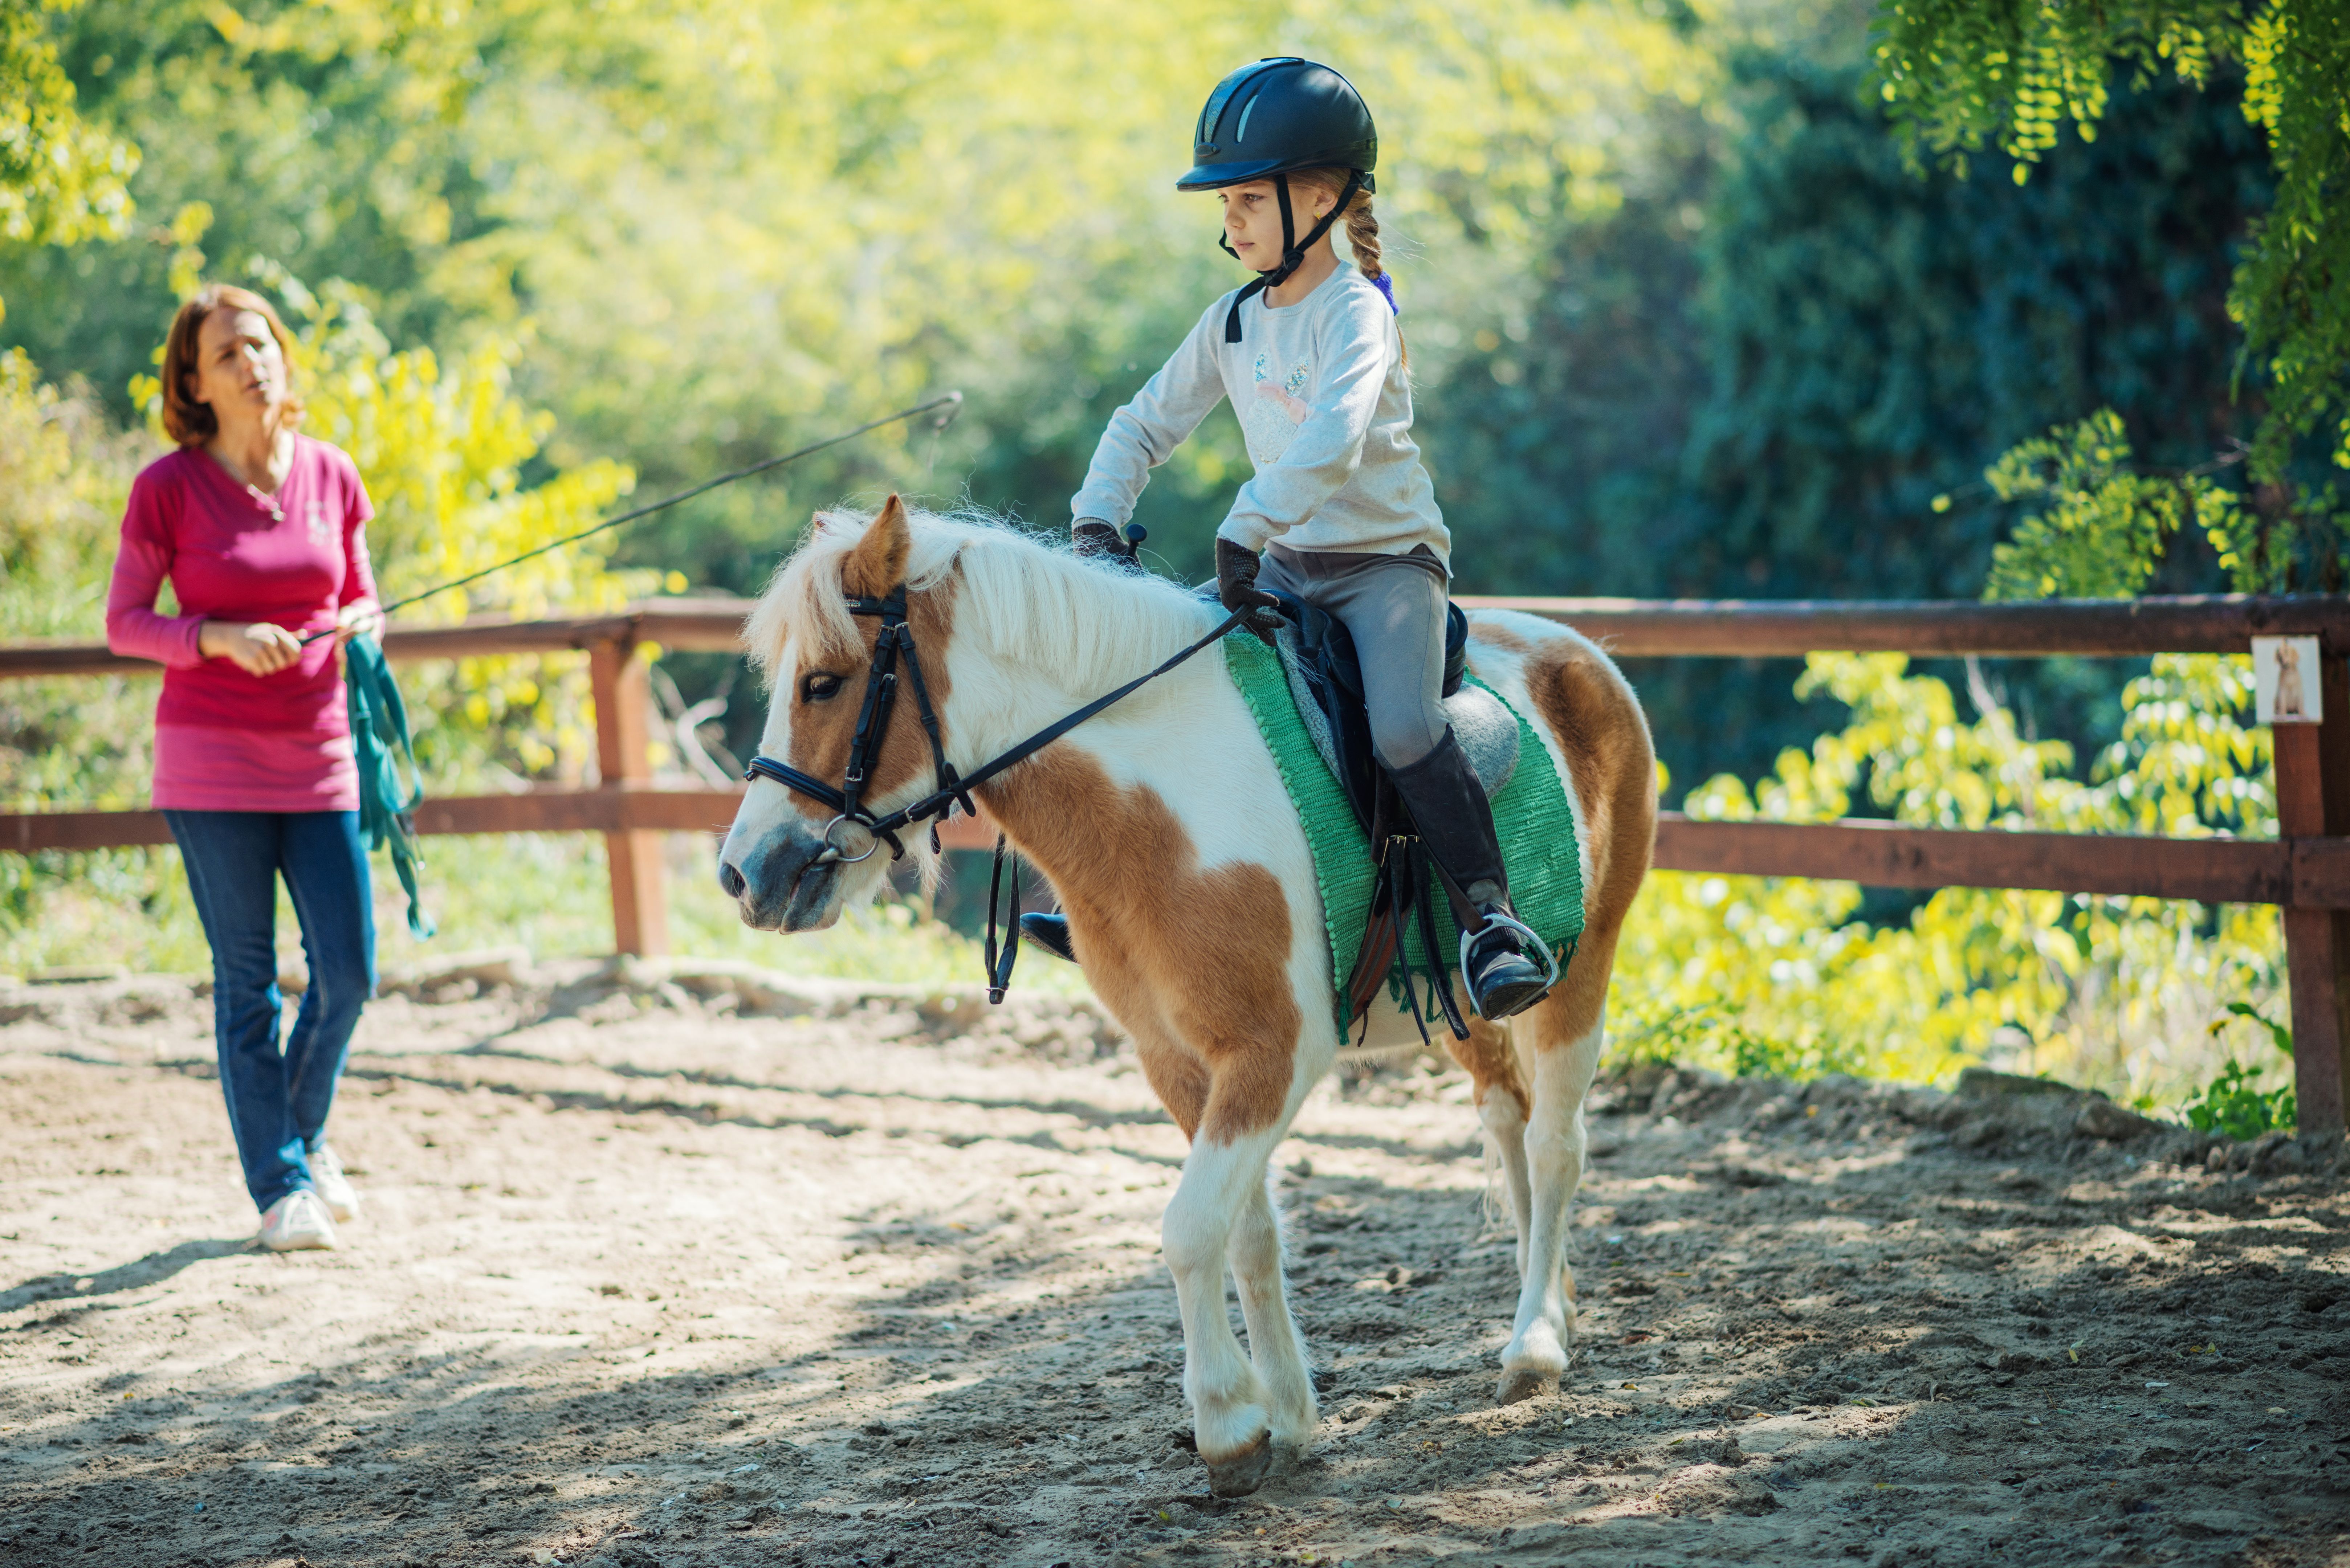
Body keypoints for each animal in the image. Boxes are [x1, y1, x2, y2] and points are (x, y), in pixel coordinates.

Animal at [719, 497, 1657, 1497]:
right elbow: (1246, 1233)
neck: (1162, 811)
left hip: (1581, 972)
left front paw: (1226, 1426)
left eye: (823, 683)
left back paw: (1535, 1345)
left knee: (1555, 1147)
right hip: (1462, 1003)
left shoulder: (1273, 1054)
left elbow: (1188, 1228)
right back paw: (1549, 1302)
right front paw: (1287, 1415)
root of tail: (1577, 649)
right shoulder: (1173, 1058)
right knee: (1507, 1122)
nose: (744, 875)